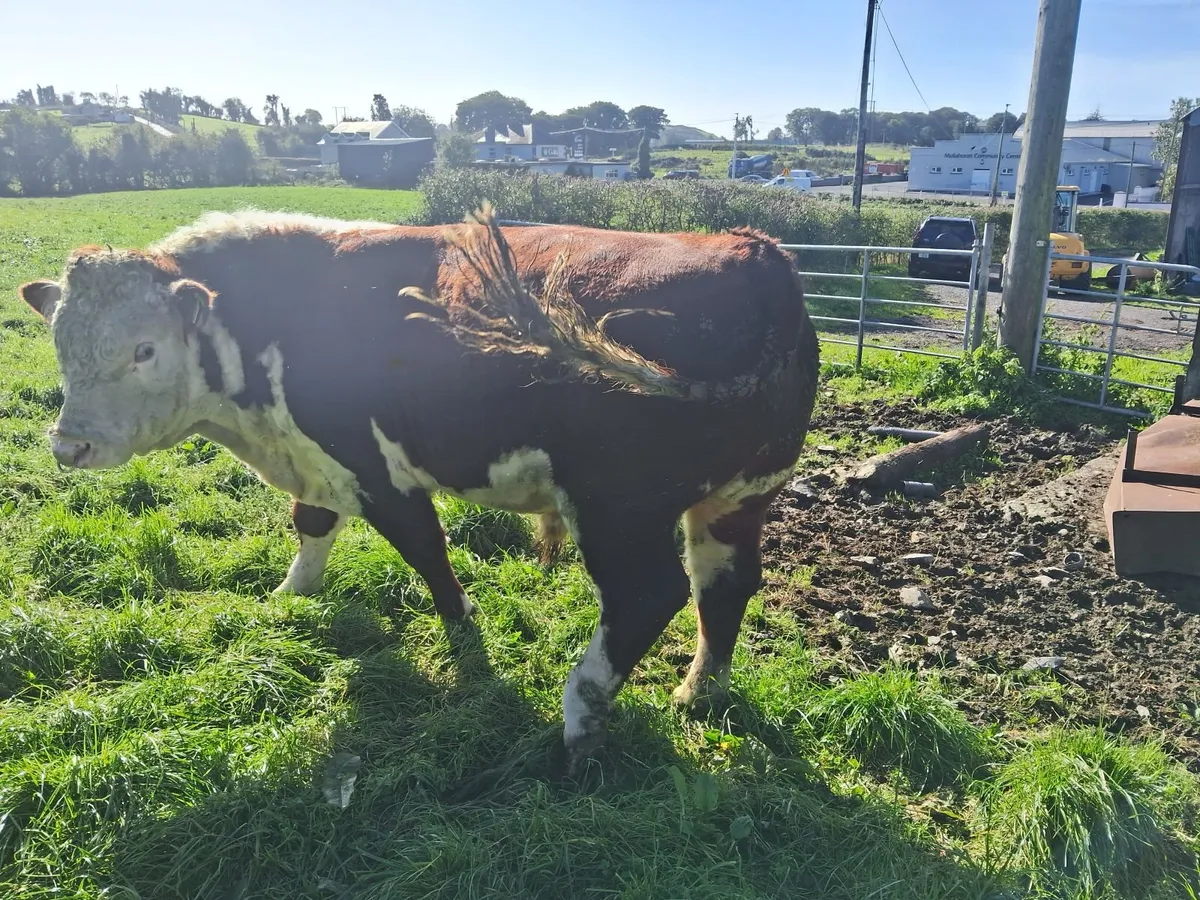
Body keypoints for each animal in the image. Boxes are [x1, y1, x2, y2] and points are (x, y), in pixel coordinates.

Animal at [18, 205, 820, 775]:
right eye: (59, 342)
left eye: (144, 349)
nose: (68, 444)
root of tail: (751, 252)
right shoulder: (315, 457)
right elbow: (311, 522)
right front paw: (291, 596)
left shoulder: (377, 470)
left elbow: (426, 551)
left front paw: (463, 626)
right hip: (741, 495)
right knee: (724, 584)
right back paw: (700, 691)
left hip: (618, 506)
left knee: (647, 596)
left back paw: (581, 714)